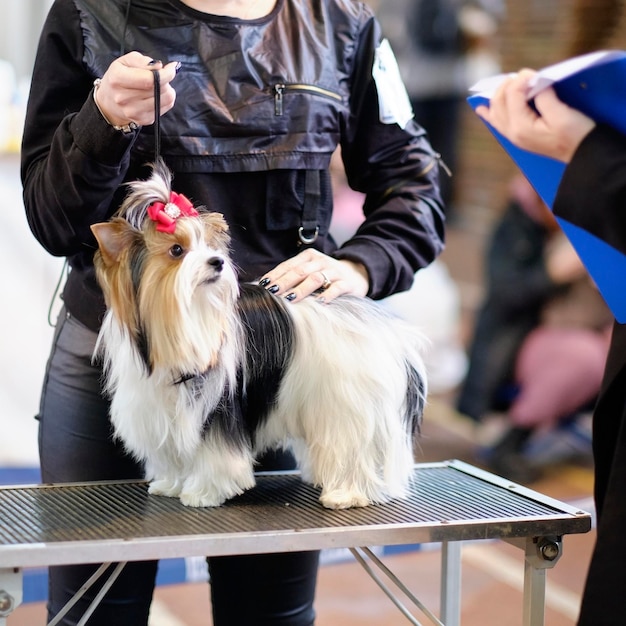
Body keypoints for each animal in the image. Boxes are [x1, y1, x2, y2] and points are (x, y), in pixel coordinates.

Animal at [90, 160, 426, 508]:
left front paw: (202, 493)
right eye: (177, 250)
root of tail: (382, 324)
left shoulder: (217, 409)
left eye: (209, 247)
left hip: (348, 402)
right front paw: (172, 483)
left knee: (350, 449)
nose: (218, 261)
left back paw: (345, 494)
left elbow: (216, 456)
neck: (183, 320)